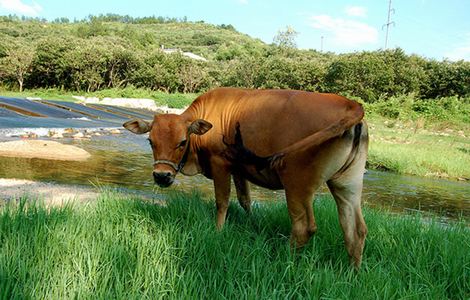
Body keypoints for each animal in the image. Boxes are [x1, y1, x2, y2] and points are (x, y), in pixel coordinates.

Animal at [123, 87, 370, 268]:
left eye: (182, 142)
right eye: (150, 141)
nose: (161, 176)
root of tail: (350, 104)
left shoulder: (220, 164)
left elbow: (222, 201)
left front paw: (218, 231)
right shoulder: (238, 170)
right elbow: (245, 200)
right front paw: (252, 224)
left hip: (297, 184)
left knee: (304, 228)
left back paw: (285, 261)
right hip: (347, 184)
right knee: (355, 230)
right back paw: (352, 273)